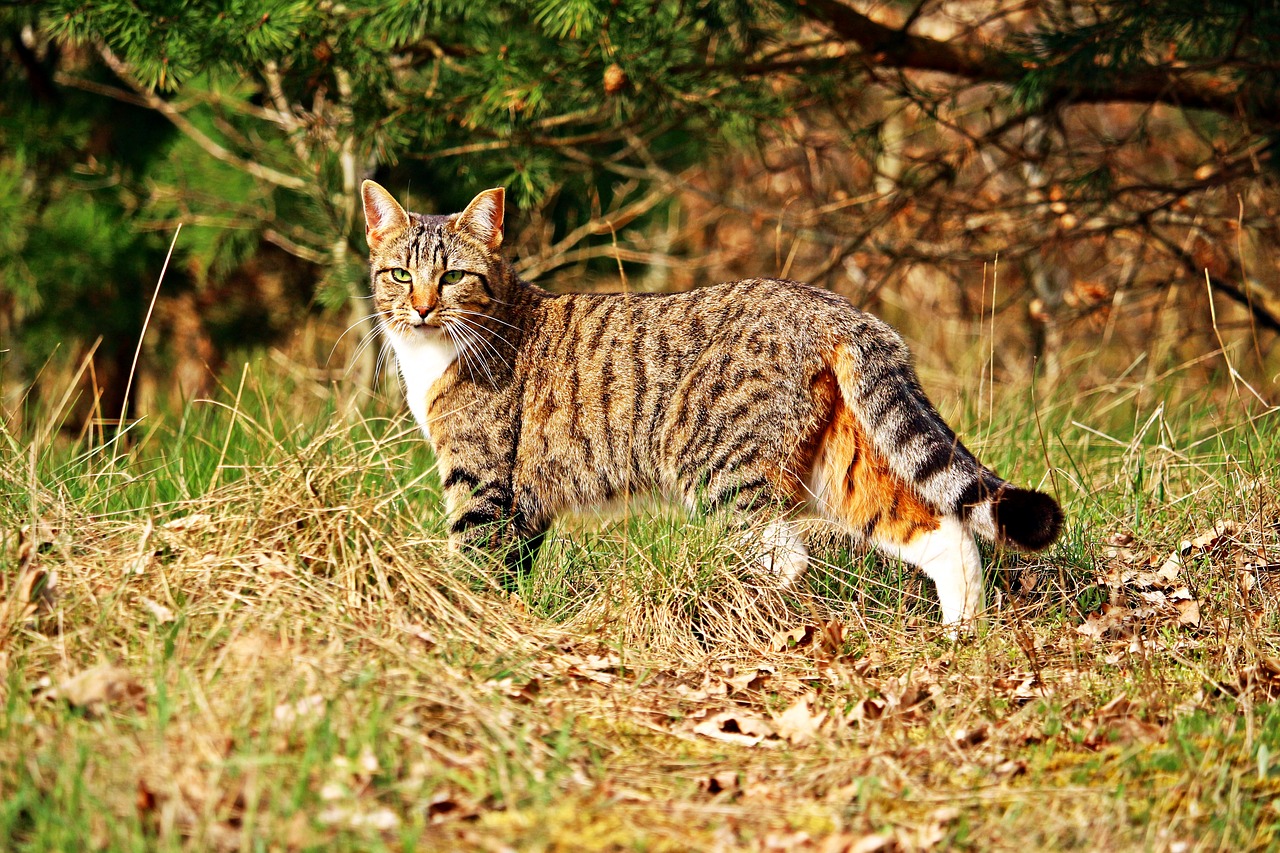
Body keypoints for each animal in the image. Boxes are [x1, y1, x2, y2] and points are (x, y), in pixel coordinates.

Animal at [358, 183, 1059, 627]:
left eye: (452, 277)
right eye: (399, 275)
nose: (421, 306)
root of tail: (836, 309)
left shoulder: (479, 482)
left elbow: (472, 564)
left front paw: (460, 624)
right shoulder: (523, 502)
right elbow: (510, 570)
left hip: (723, 471)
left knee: (782, 558)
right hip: (838, 467)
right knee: (942, 530)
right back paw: (962, 637)